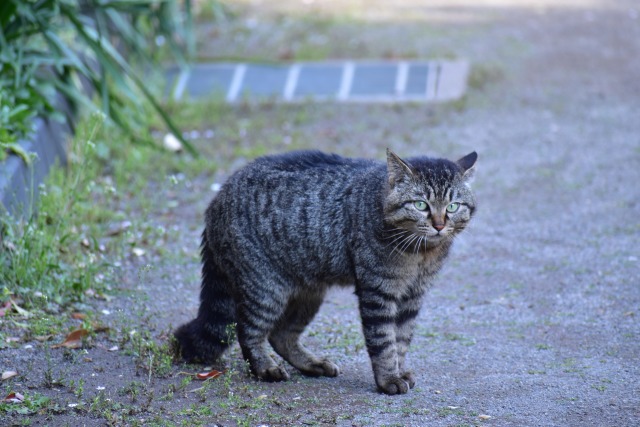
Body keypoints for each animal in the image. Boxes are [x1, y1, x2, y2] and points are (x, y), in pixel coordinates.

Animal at [174, 149, 476, 396]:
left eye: (452, 206)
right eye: (421, 205)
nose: (439, 225)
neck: (422, 254)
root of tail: (217, 197)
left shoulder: (413, 295)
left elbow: (401, 339)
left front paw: (399, 370)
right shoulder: (378, 291)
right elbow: (383, 341)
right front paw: (389, 379)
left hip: (308, 293)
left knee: (281, 335)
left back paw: (312, 364)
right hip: (265, 288)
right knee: (249, 332)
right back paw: (265, 369)